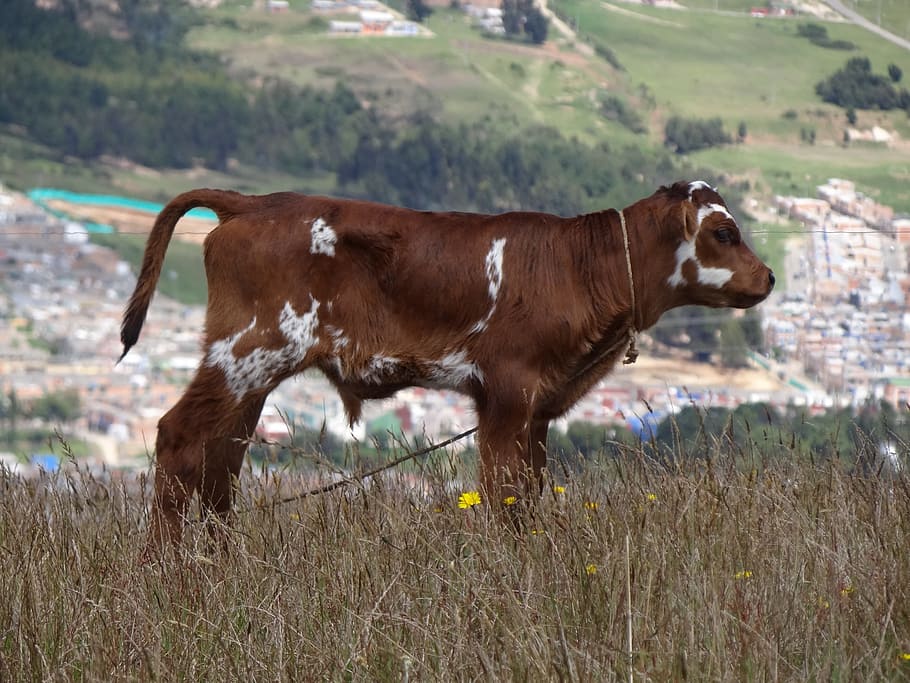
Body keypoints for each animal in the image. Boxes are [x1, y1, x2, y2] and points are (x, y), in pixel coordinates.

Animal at [120, 180, 774, 554]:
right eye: (724, 232)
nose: (768, 277)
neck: (581, 266)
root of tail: (252, 204)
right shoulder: (507, 391)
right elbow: (505, 492)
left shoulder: (538, 408)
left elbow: (528, 490)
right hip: (249, 352)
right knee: (181, 438)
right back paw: (166, 569)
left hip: (250, 370)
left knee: (221, 459)